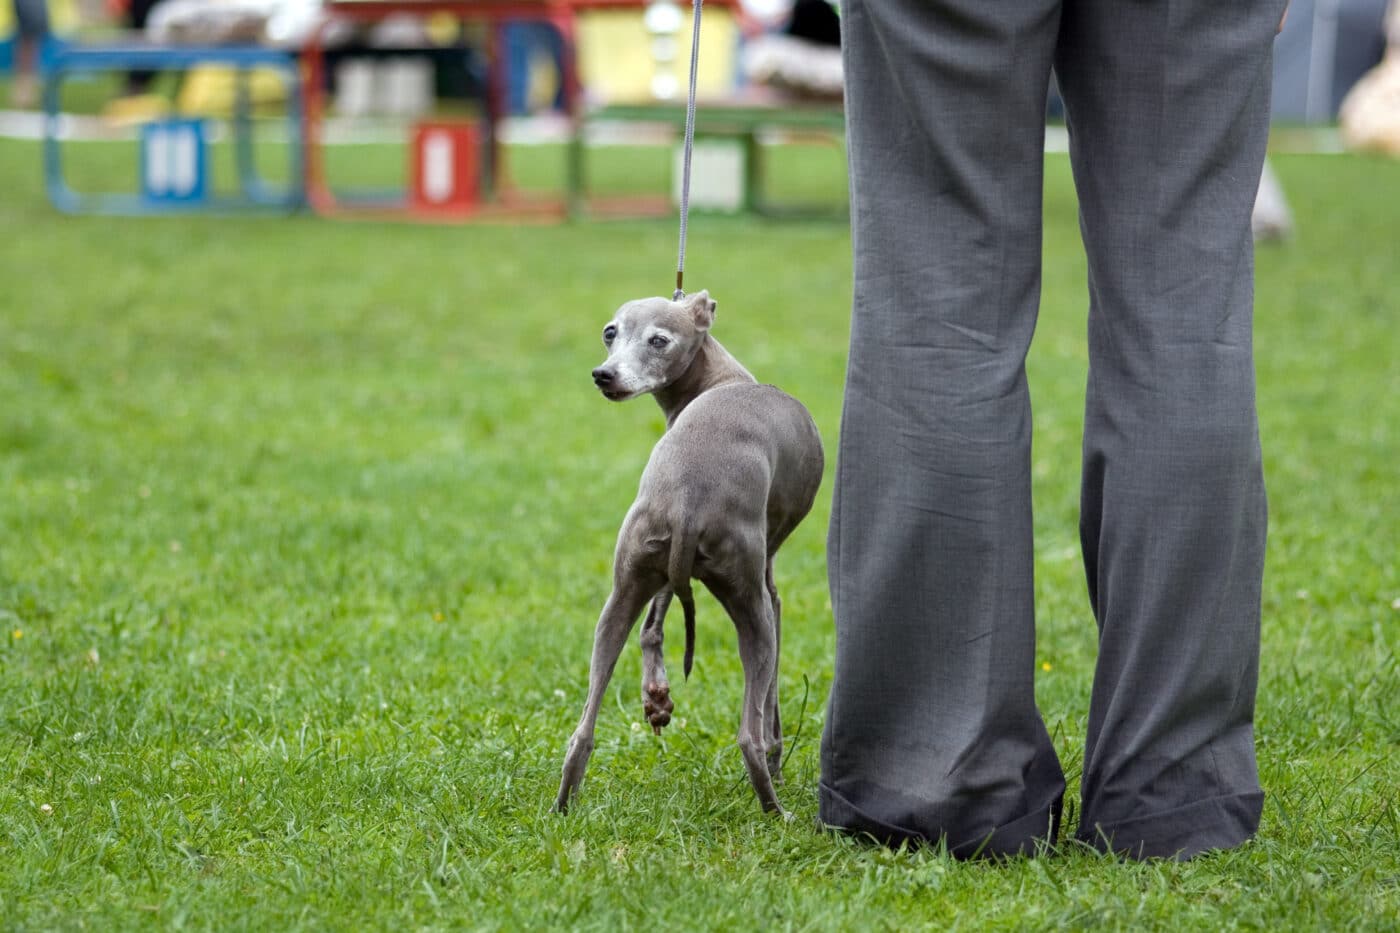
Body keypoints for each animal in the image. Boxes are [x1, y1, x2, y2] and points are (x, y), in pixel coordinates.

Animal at [554, 291, 817, 812]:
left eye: (658, 339)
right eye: (612, 333)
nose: (604, 375)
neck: (723, 379)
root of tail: (689, 501)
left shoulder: (661, 573)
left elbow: (653, 625)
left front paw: (656, 697)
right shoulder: (771, 589)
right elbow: (772, 702)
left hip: (624, 586)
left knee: (583, 730)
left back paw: (563, 805)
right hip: (752, 603)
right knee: (749, 732)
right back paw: (776, 808)